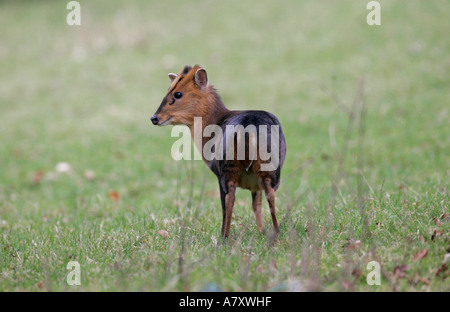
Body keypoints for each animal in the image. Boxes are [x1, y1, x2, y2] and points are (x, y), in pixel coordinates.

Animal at [150, 64, 284, 238]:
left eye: (177, 94)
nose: (154, 118)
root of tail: (249, 129)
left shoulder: (218, 172)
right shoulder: (255, 183)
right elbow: (256, 204)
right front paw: (262, 231)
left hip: (228, 166)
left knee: (229, 199)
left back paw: (224, 237)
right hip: (269, 166)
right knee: (270, 194)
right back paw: (276, 232)